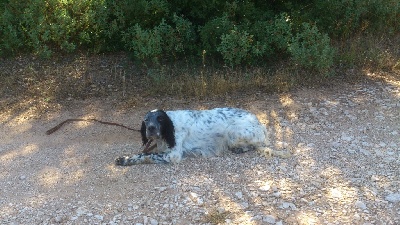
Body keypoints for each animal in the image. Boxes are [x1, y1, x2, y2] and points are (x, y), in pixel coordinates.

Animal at [115, 107, 276, 165]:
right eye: (146, 120)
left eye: (160, 119)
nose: (151, 129)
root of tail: (260, 123)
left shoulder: (173, 155)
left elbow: (146, 155)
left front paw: (125, 159)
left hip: (233, 133)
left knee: (256, 145)